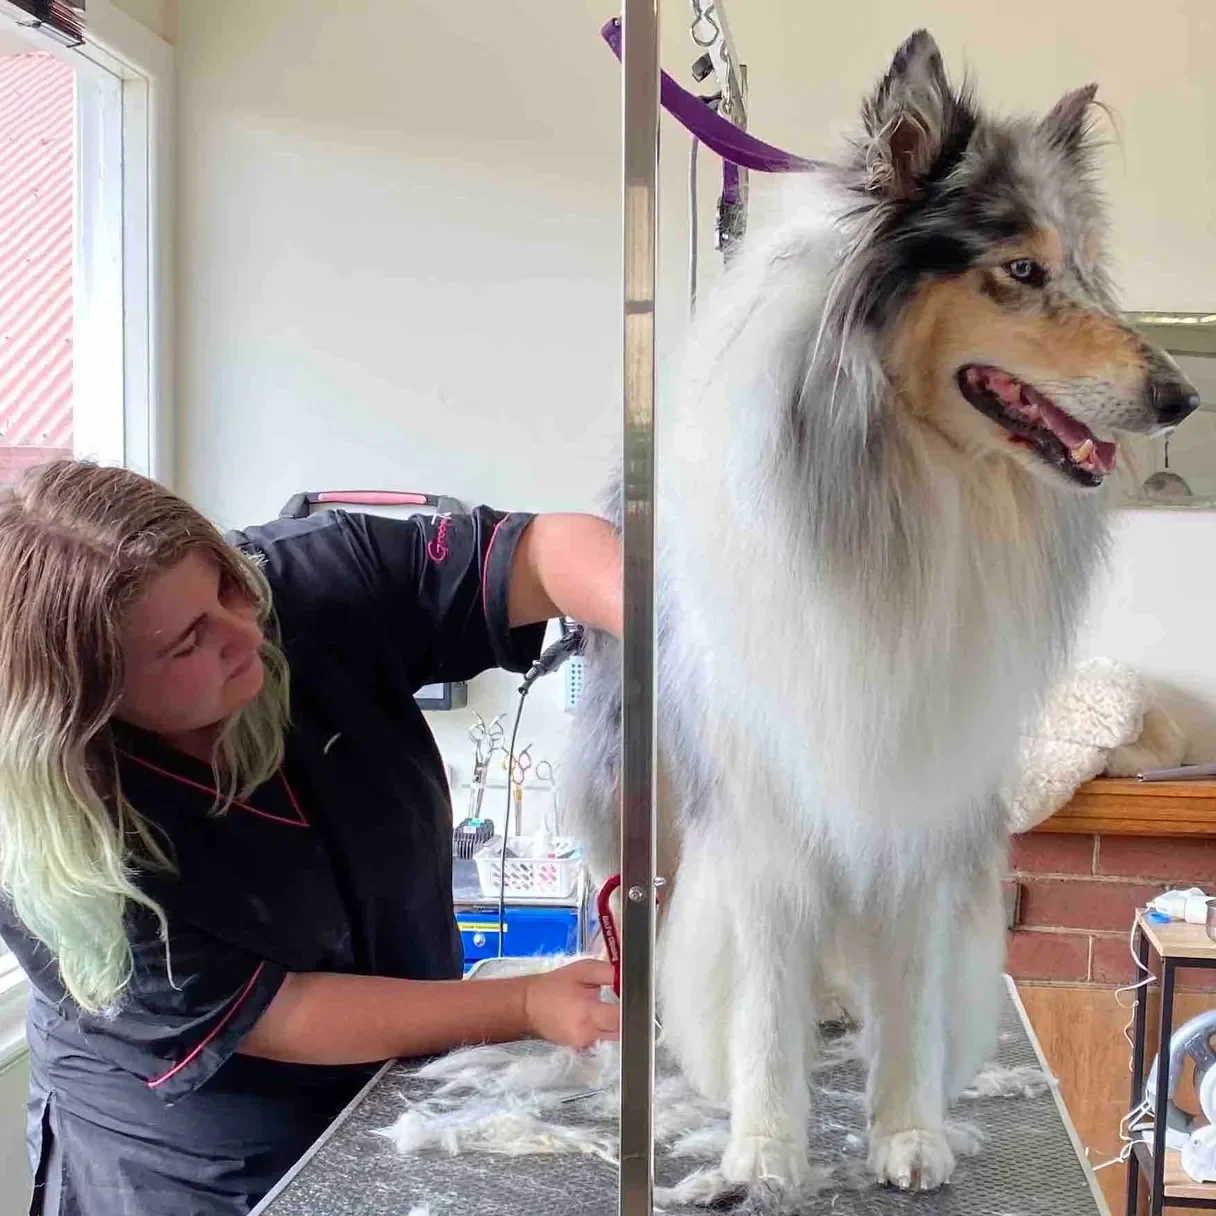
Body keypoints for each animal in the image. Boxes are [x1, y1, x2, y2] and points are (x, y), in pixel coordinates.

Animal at [566, 26, 1196, 1196]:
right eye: (1022, 270)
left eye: (1085, 270)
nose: (1181, 398)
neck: (905, 492)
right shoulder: (763, 796)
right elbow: (759, 987)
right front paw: (765, 1152)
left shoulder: (915, 777)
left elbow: (909, 978)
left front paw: (907, 1133)